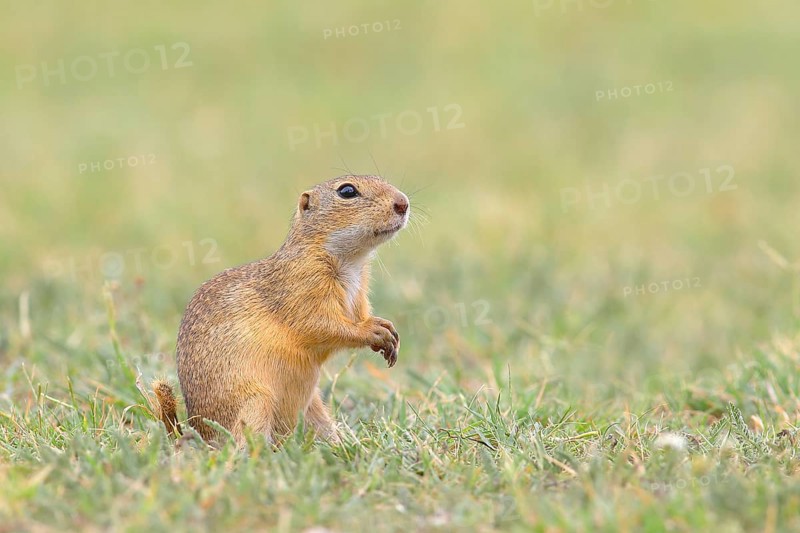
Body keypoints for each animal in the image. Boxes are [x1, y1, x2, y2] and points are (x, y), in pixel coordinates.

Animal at [152, 175, 409, 445]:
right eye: (347, 191)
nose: (403, 203)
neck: (352, 263)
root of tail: (197, 432)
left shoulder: (358, 297)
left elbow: (356, 317)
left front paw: (387, 329)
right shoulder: (302, 287)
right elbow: (321, 325)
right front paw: (375, 331)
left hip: (313, 408)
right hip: (256, 402)